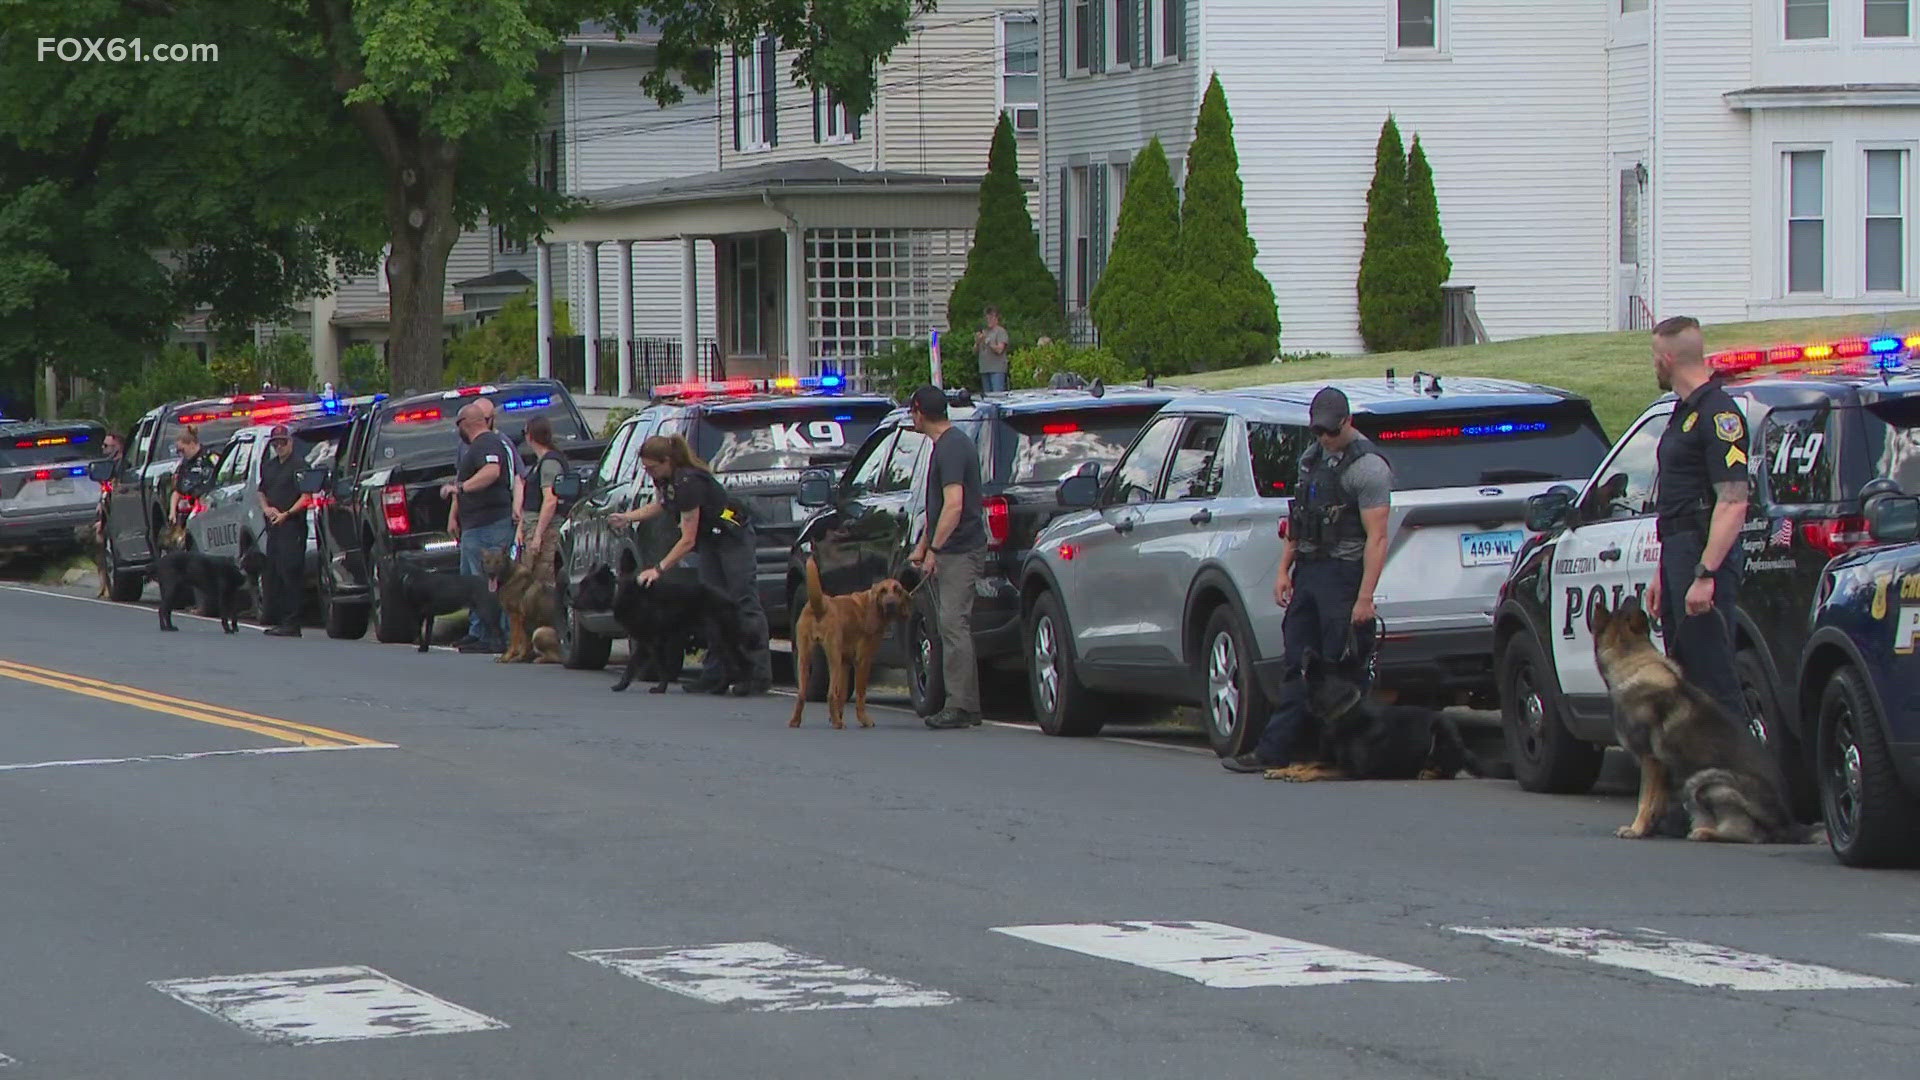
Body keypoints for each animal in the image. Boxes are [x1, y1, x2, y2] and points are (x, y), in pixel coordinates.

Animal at [568, 557, 741, 691]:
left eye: (586, 588)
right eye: (581, 586)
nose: (571, 602)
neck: (618, 594)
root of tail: (730, 599)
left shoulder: (652, 642)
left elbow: (650, 667)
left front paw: (655, 688)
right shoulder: (648, 643)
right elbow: (643, 666)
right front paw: (628, 686)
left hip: (717, 640)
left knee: (732, 666)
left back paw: (723, 689)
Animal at [791, 557, 917, 726]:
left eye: (897, 590)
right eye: (883, 591)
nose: (891, 604)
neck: (869, 604)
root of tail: (820, 606)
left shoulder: (846, 664)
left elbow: (842, 695)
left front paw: (837, 715)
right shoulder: (863, 661)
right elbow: (860, 694)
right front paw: (863, 719)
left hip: (805, 658)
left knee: (801, 694)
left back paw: (796, 721)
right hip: (834, 659)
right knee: (830, 694)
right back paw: (838, 724)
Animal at [1267, 641, 1505, 776]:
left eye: (1315, 663)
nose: (1306, 649)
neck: (1344, 711)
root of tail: (1465, 750)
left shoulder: (1353, 769)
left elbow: (1318, 769)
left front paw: (1298, 775)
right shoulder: (1330, 759)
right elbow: (1311, 763)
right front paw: (1284, 770)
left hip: (1443, 728)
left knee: (1446, 772)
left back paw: (1424, 772)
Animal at [1597, 595, 1820, 841]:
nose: (1631, 598)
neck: (1636, 664)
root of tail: (1790, 824)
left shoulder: (1651, 761)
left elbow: (1644, 801)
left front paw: (1636, 828)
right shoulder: (1662, 769)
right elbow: (1657, 803)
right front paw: (1650, 829)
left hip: (1706, 781)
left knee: (1748, 834)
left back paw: (1706, 832)